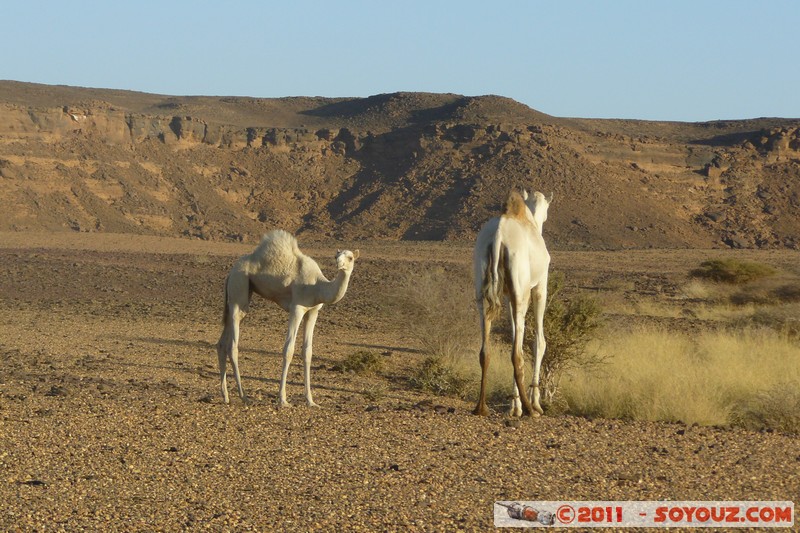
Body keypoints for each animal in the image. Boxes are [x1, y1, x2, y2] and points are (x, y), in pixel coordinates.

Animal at [216, 229, 359, 406]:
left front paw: (310, 400)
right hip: (239, 285)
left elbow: (308, 352)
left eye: (350, 257)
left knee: (222, 343)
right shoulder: (297, 308)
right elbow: (288, 349)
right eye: (336, 256)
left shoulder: (313, 311)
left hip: (238, 293)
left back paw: (226, 396)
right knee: (233, 344)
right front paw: (283, 399)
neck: (317, 287)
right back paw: (244, 396)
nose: (339, 264)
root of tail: (230, 273)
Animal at [473, 189, 552, 417]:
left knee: (486, 350)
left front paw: (514, 405)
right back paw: (531, 409)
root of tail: (498, 236)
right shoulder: (539, 286)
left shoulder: (508, 294)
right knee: (517, 354)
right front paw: (534, 403)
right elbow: (538, 341)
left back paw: (481, 407)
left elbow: (517, 334)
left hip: (483, 287)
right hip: (521, 290)